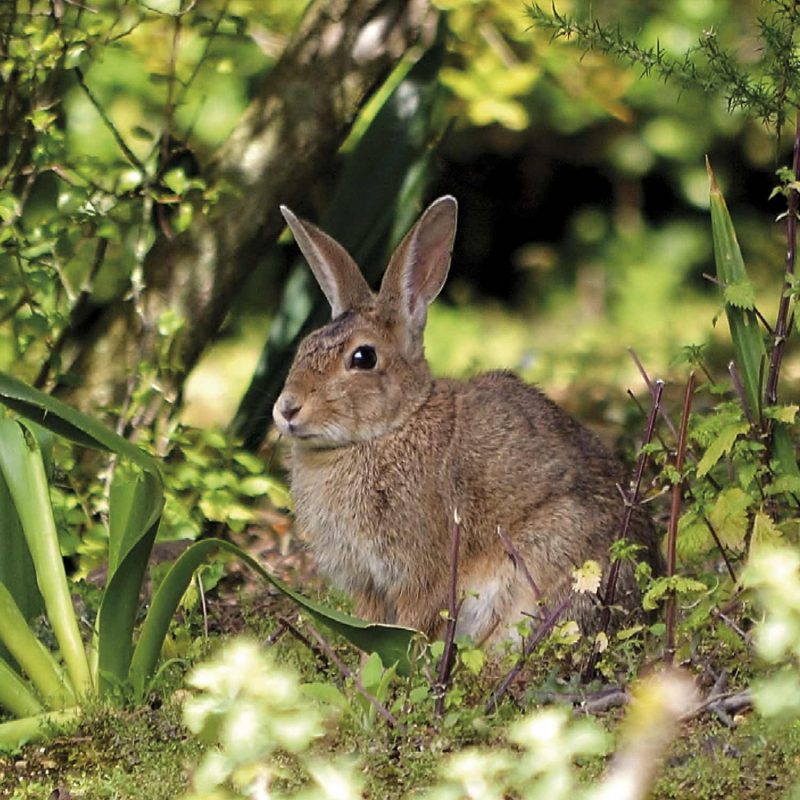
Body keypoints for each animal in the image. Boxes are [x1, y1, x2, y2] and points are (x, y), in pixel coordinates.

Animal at [272, 195, 660, 644]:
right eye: (304, 345)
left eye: (363, 357)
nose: (286, 409)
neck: (389, 429)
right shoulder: (367, 583)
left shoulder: (421, 568)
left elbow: (415, 619)